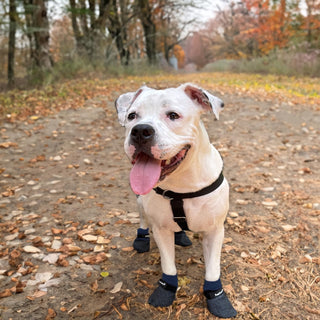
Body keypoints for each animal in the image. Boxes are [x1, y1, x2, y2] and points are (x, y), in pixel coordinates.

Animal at [116, 83, 236, 318]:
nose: (140, 131)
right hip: (141, 202)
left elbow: (213, 269)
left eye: (173, 115)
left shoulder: (215, 230)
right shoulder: (161, 229)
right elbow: (168, 264)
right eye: (132, 116)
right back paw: (142, 238)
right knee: (143, 220)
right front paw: (166, 290)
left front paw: (217, 297)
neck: (182, 183)